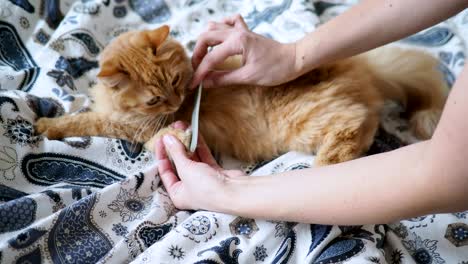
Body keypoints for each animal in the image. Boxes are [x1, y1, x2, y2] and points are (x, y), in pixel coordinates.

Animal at [35, 24, 446, 165]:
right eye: (155, 98)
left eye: (176, 81)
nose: (177, 103)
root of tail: (360, 67)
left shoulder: (128, 127)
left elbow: (84, 121)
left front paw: (44, 125)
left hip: (304, 121)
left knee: (357, 123)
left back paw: (326, 166)